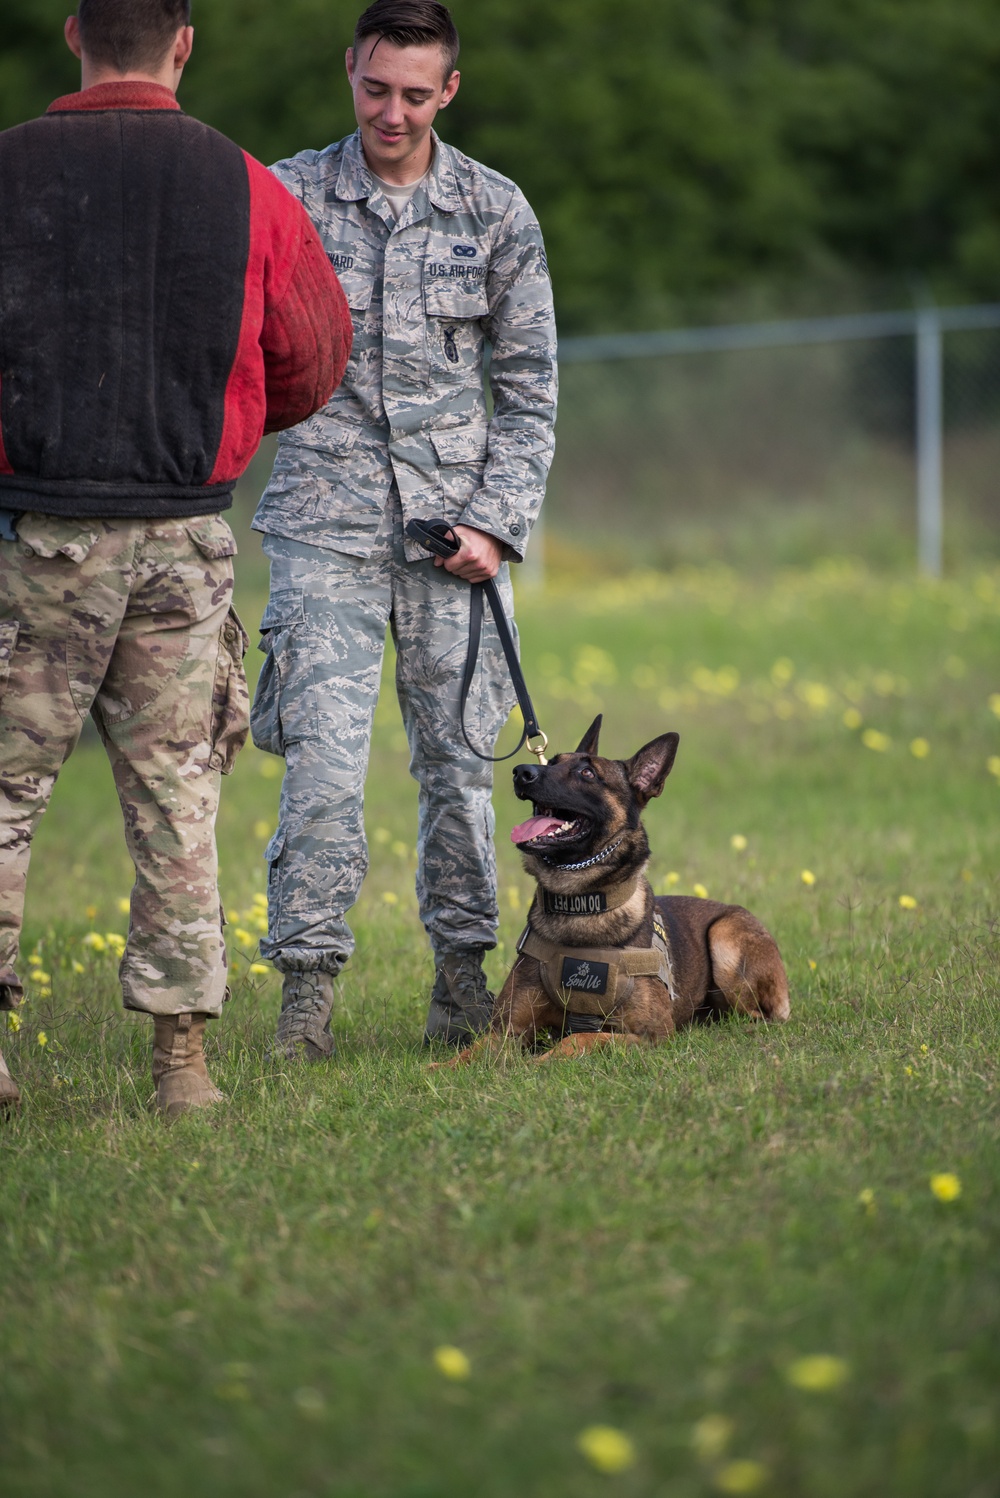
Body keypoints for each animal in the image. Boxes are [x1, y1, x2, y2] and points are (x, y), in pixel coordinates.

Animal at [437, 713, 790, 1066]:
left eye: (587, 773)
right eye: (552, 762)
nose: (521, 772)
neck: (581, 903)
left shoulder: (652, 1034)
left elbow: (579, 1038)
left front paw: (539, 1061)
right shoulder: (505, 1031)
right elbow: (468, 1055)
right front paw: (438, 1066)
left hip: (725, 939)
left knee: (756, 1016)